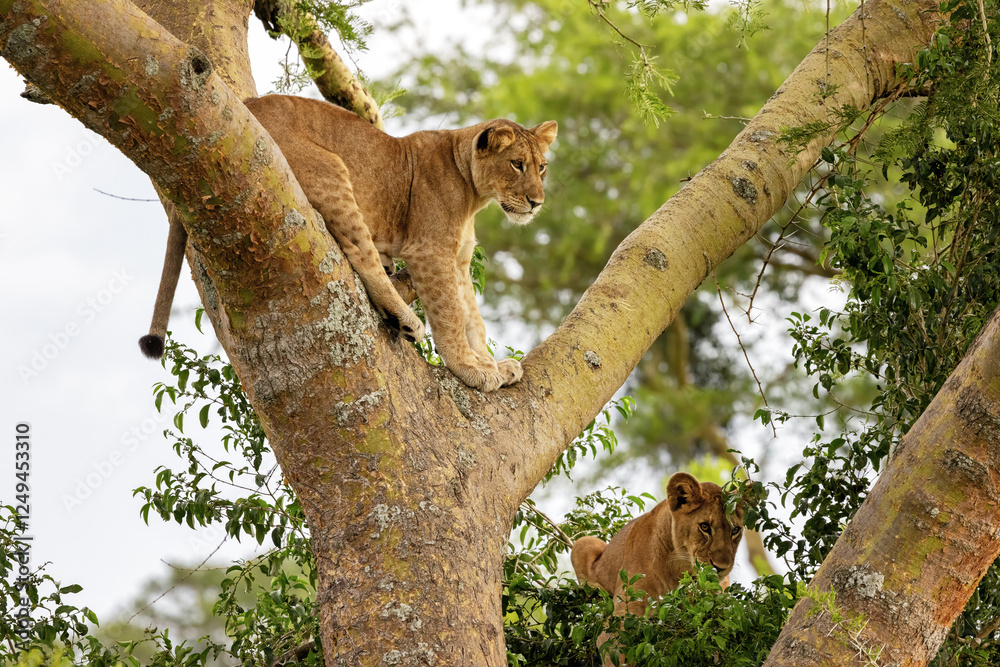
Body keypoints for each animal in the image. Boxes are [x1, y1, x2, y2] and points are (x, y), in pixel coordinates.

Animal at [571, 472, 743, 664]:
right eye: (704, 526)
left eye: (735, 530)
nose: (721, 567)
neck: (680, 569)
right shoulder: (622, 615)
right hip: (584, 542)